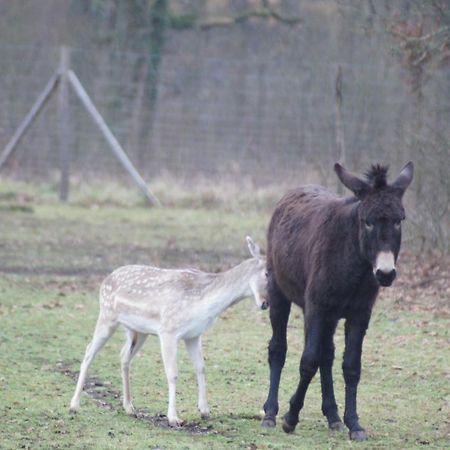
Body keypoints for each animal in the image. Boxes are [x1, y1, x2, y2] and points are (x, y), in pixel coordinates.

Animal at [70, 237, 268, 428]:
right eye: (267, 273)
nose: (266, 303)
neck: (205, 304)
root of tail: (105, 280)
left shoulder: (194, 334)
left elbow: (201, 367)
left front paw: (204, 411)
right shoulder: (168, 330)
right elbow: (172, 373)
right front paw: (173, 418)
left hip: (137, 330)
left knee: (123, 355)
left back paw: (129, 407)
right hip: (107, 315)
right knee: (89, 351)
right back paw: (74, 405)